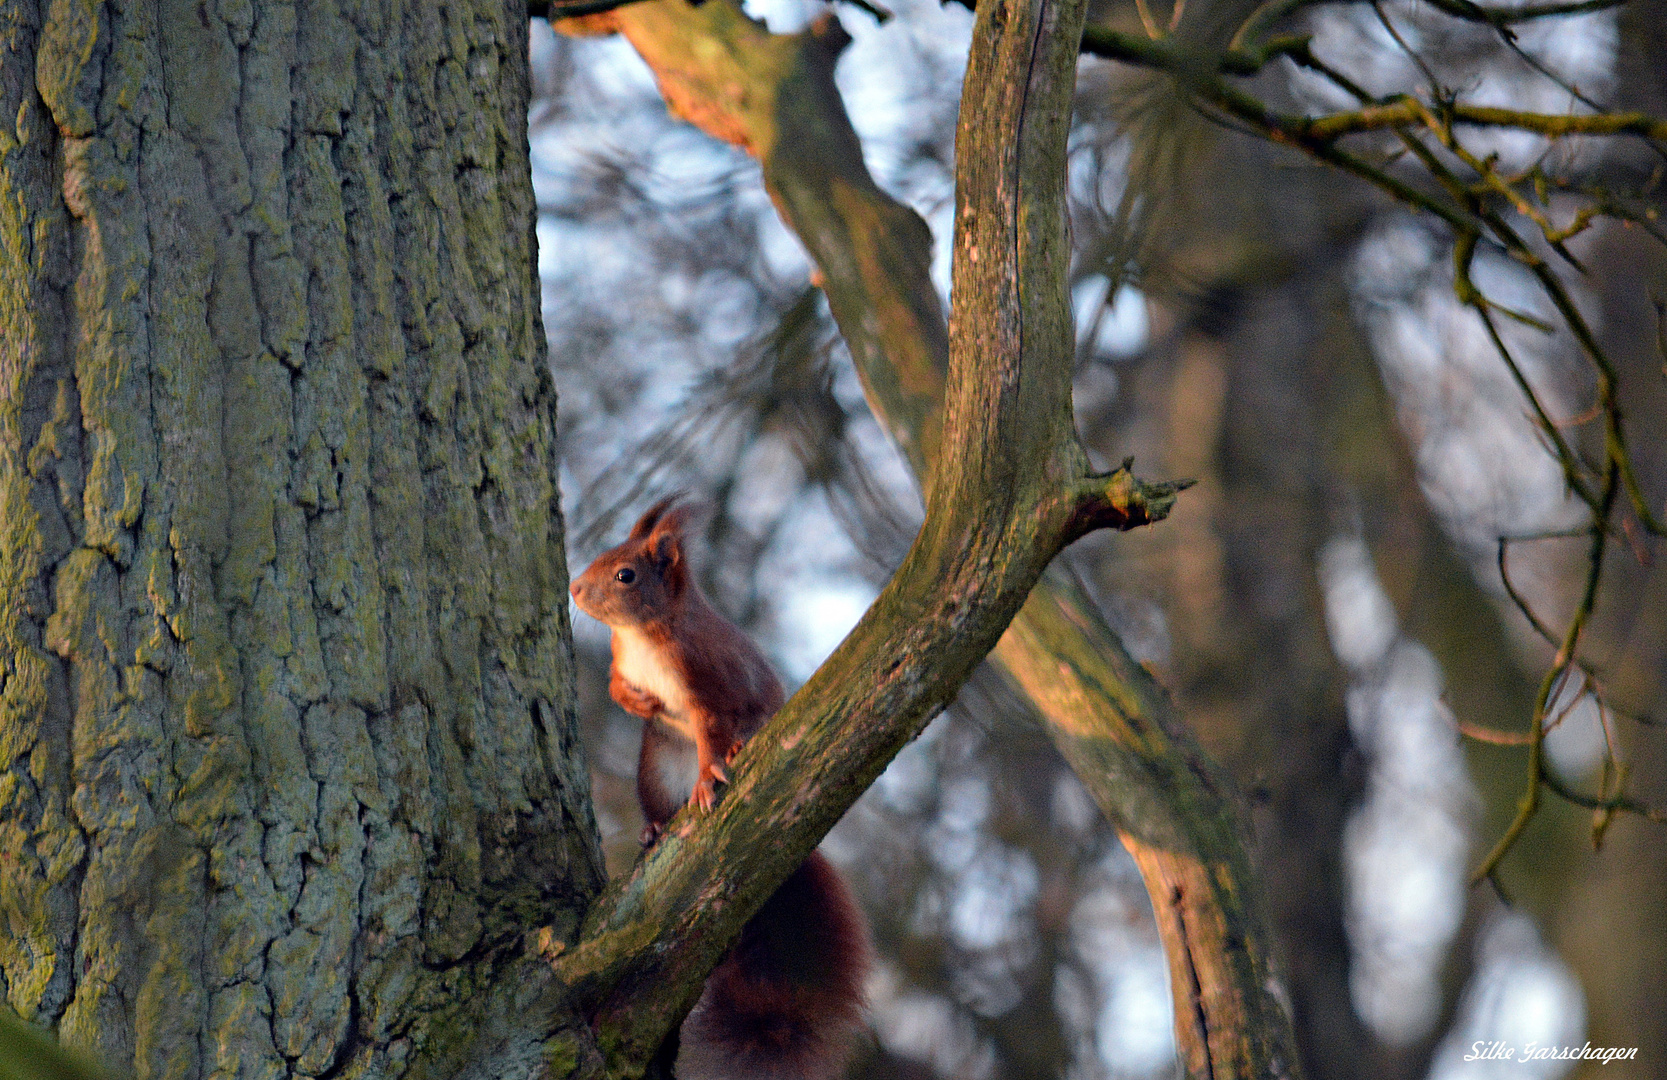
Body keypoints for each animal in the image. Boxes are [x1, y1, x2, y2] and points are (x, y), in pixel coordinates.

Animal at [570, 496, 866, 1080]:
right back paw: (653, 829)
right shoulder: (621, 660)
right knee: (658, 805)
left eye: (625, 574)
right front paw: (636, 701)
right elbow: (617, 685)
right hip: (654, 770)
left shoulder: (706, 679)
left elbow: (711, 728)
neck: (643, 635)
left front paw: (711, 775)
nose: (573, 588)